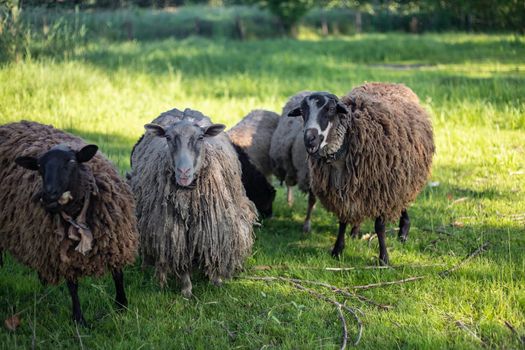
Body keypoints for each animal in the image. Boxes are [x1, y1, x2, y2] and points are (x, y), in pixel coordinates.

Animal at [0, 121, 138, 326]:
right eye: (39, 167)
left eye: (71, 162)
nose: (48, 196)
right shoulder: (62, 252)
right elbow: (73, 285)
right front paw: (79, 319)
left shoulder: (114, 240)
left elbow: (118, 274)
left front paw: (121, 306)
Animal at [129, 108, 256, 296]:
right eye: (168, 137)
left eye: (200, 137)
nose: (183, 171)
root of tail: (183, 110)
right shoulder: (175, 232)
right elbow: (182, 263)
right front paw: (186, 290)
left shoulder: (215, 228)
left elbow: (213, 251)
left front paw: (216, 281)